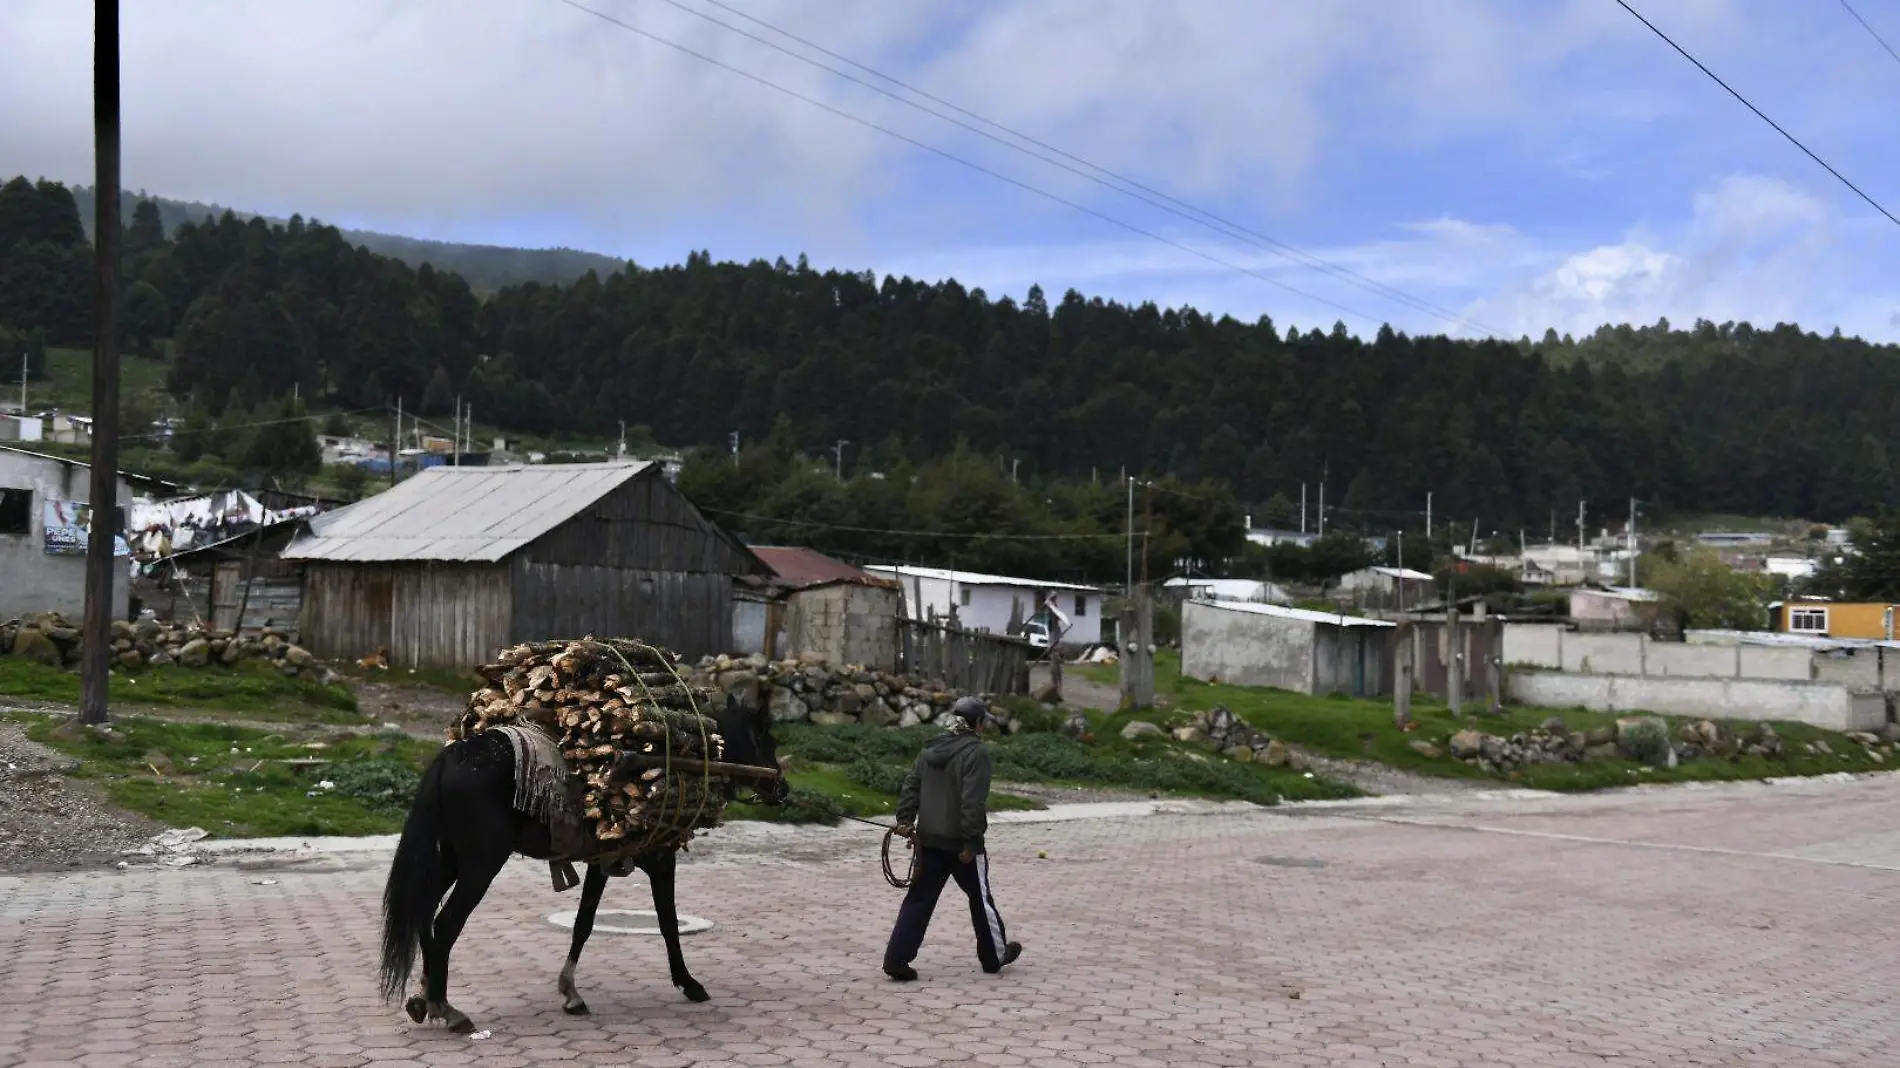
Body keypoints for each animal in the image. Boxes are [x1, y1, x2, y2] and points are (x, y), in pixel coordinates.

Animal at [374, 695, 790, 1026]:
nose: (782, 788)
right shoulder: (660, 860)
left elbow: (584, 923)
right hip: (481, 864)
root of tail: (450, 757)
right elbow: (668, 923)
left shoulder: (601, 861)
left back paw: (424, 999)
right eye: (767, 739)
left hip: (450, 860)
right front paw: (689, 983)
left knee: (425, 913)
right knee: (445, 924)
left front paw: (571, 992)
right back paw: (447, 1009)